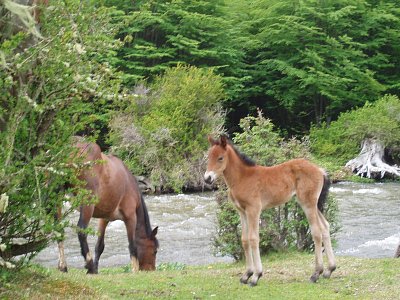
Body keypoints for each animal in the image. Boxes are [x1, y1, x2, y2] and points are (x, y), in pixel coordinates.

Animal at [57, 139, 158, 274]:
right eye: (155, 250)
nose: (151, 270)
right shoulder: (130, 217)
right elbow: (132, 246)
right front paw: (134, 270)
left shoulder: (104, 218)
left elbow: (99, 246)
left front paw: (97, 268)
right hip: (87, 204)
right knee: (81, 230)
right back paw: (89, 266)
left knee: (58, 230)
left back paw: (63, 266)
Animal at [205, 136, 336, 286]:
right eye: (208, 157)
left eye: (220, 158)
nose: (207, 178)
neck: (242, 178)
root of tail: (319, 169)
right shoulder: (242, 211)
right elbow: (244, 240)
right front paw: (246, 274)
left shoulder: (254, 209)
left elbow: (253, 238)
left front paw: (256, 276)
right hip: (314, 205)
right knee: (325, 226)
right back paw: (329, 270)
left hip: (308, 203)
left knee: (316, 232)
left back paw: (316, 273)